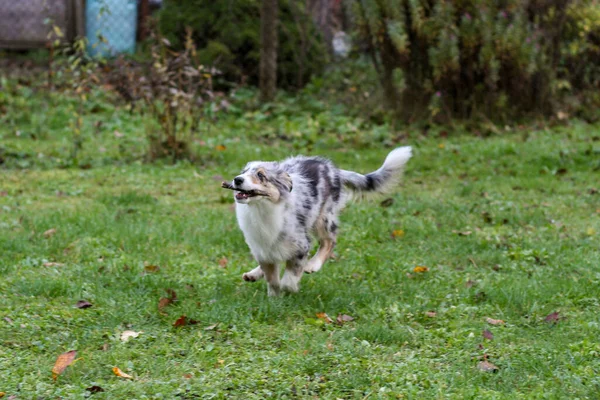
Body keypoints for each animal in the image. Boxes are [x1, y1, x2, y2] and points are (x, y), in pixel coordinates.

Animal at [225, 145, 412, 296]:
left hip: (324, 218)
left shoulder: (301, 245)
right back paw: (253, 274)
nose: (237, 179)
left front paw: (290, 288)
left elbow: (289, 278)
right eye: (243, 172)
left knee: (329, 241)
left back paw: (313, 265)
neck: (261, 210)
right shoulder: (262, 248)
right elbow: (272, 278)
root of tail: (334, 170)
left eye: (261, 175)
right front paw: (273, 298)